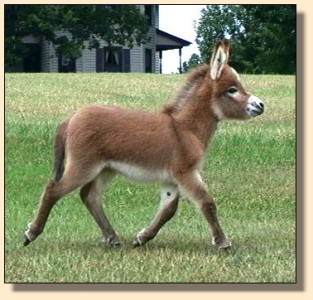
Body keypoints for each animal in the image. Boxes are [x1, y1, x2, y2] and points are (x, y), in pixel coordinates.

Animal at [23, 40, 264, 251]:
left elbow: (168, 210)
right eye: (232, 90)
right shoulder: (187, 173)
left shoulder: (171, 180)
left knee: (89, 196)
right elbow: (207, 202)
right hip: (84, 167)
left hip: (105, 169)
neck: (184, 128)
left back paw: (112, 238)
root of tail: (71, 117)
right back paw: (31, 234)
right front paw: (223, 242)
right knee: (53, 190)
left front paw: (142, 238)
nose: (261, 105)